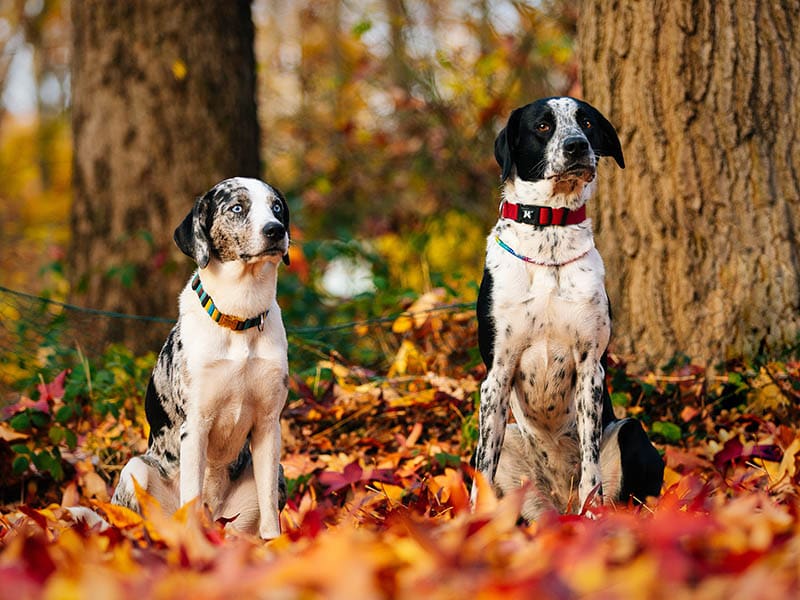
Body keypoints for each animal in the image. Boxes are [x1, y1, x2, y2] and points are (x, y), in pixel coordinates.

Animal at [111, 177, 290, 540]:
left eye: (277, 207)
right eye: (237, 208)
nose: (275, 230)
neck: (239, 316)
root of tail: (217, 517)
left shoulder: (268, 425)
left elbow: (269, 506)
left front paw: (275, 545)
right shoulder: (195, 425)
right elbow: (191, 495)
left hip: (272, 476)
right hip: (136, 470)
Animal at [472, 98, 664, 520]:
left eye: (587, 123)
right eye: (543, 126)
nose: (576, 145)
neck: (550, 233)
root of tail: (559, 504)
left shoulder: (590, 367)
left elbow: (590, 465)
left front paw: (592, 517)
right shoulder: (496, 374)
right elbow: (481, 470)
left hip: (630, 432)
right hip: (513, 445)